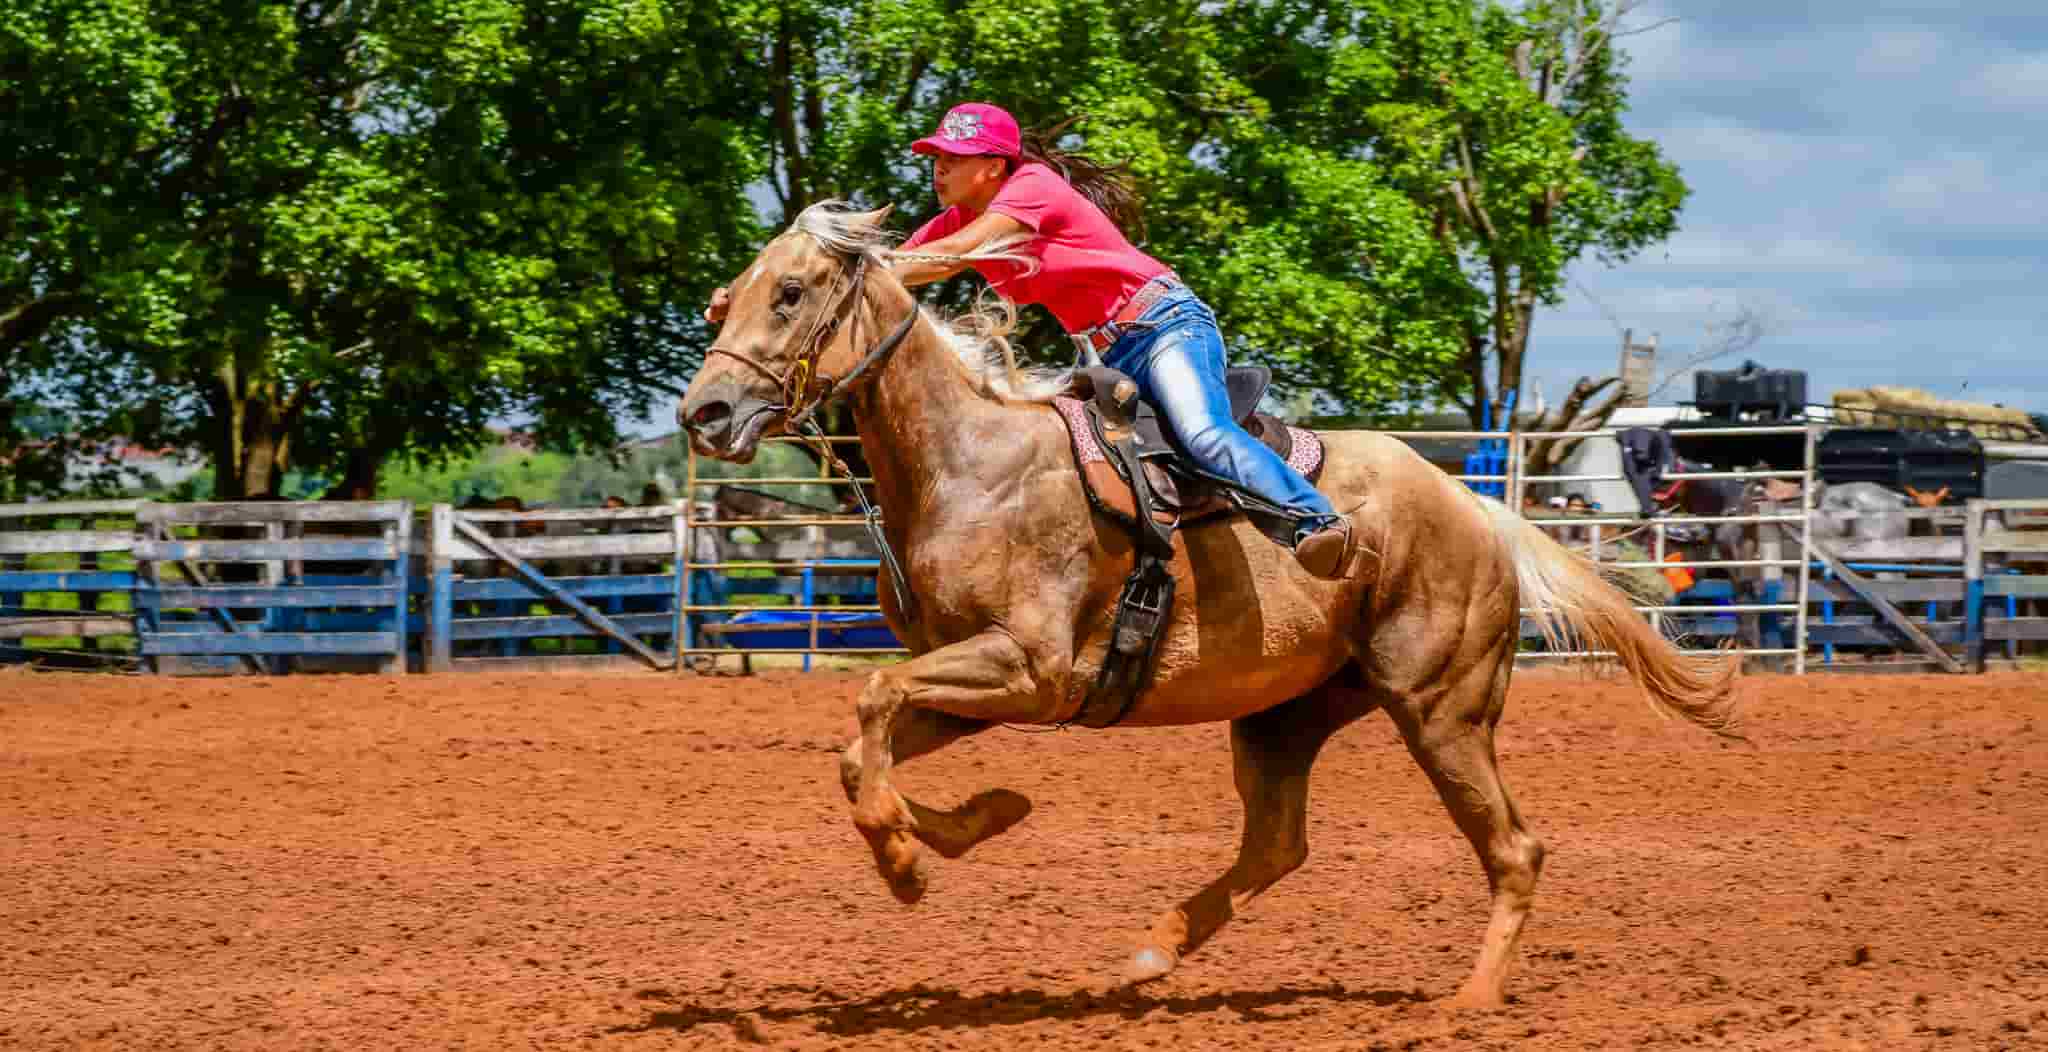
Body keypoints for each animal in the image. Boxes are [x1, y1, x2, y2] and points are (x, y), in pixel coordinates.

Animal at [679, 202, 1736, 998]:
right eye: (730, 296)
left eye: (790, 291)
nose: (704, 413)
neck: (970, 464)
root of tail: (1475, 508)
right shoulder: (980, 686)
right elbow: (863, 749)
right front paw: (979, 820)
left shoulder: (1028, 668)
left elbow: (870, 707)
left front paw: (907, 861)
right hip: (1285, 716)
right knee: (1277, 846)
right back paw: (1151, 952)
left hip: (1442, 708)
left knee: (1514, 848)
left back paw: (1470, 1002)